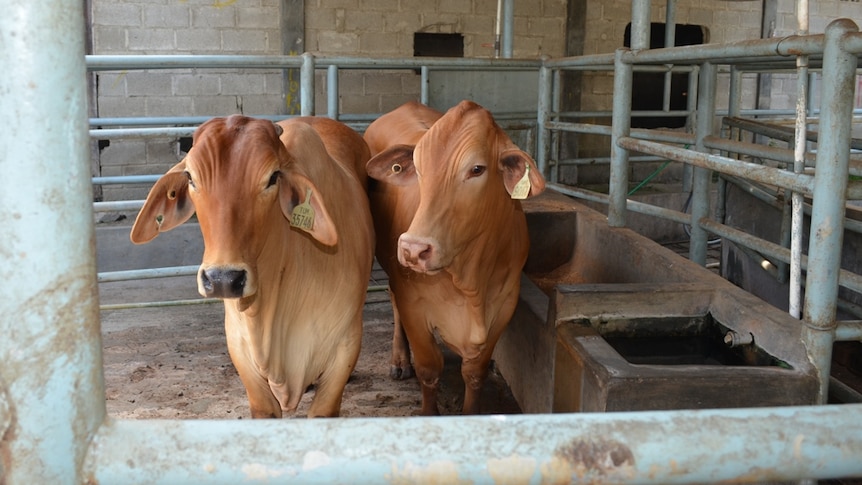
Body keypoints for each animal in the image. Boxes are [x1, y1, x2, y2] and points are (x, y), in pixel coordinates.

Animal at [366, 101, 548, 412]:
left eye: (477, 169)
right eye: (418, 168)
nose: (414, 248)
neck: (470, 281)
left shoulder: (505, 303)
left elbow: (474, 374)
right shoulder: (413, 303)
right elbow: (429, 369)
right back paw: (400, 360)